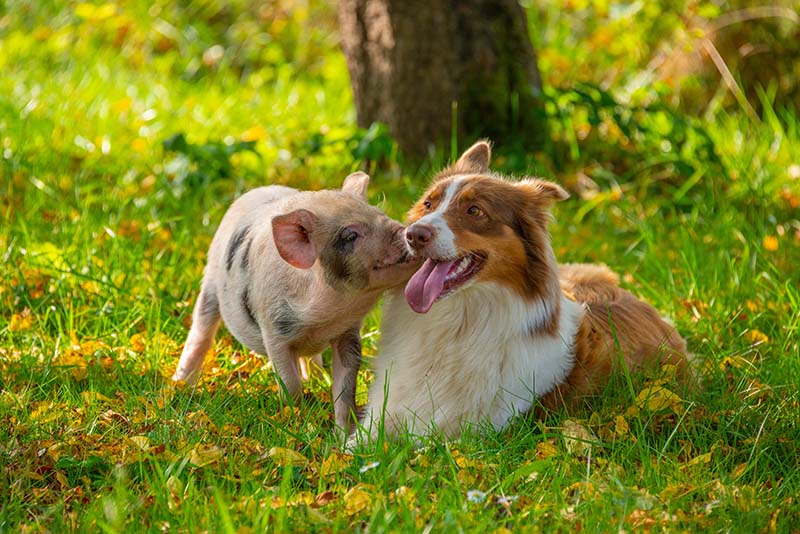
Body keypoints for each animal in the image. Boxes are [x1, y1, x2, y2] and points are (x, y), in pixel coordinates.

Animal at [174, 174, 418, 438]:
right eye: (350, 235)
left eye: (377, 212)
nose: (407, 231)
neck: (323, 317)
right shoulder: (273, 330)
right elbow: (290, 385)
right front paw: (295, 426)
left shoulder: (348, 333)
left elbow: (345, 387)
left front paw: (342, 435)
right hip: (210, 284)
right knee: (202, 331)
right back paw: (181, 384)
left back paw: (317, 377)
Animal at [354, 140, 692, 442]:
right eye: (428, 204)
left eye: (474, 210)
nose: (414, 234)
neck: (458, 320)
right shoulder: (381, 417)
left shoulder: (479, 433)